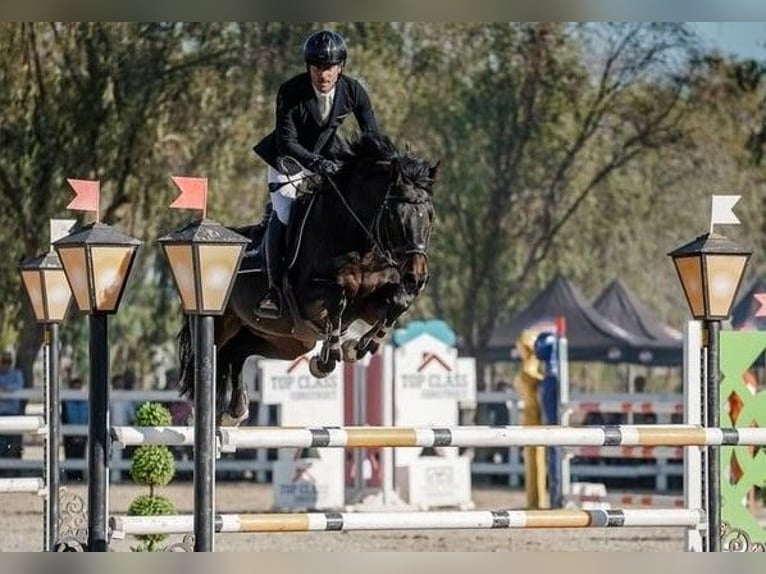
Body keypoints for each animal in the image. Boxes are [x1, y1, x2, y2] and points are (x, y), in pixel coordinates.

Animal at [176, 133, 436, 426]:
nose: (417, 277)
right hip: (223, 325)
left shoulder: (370, 303)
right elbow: (338, 299)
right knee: (213, 357)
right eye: (395, 216)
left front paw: (356, 348)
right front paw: (328, 359)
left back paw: (235, 411)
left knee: (237, 353)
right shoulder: (310, 298)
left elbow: (397, 303)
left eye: (430, 217)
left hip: (284, 341)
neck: (357, 243)